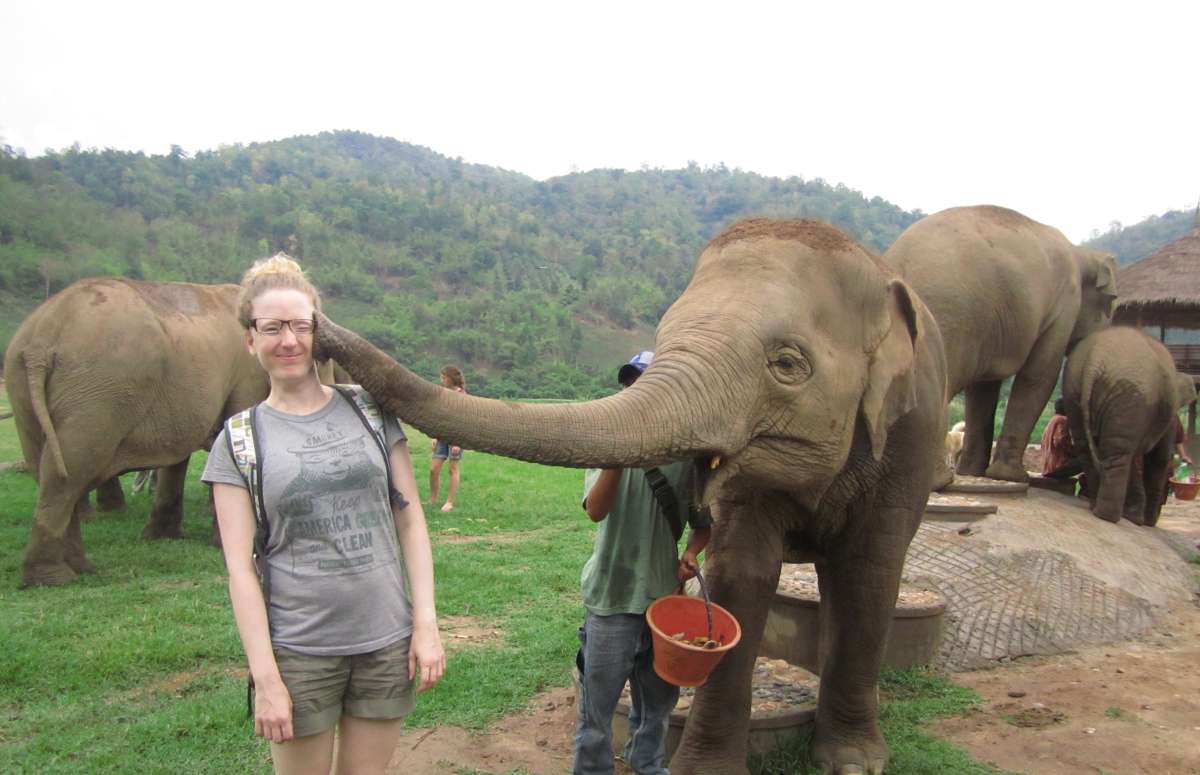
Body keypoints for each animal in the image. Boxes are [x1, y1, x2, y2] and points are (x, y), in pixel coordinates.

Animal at [7, 277, 269, 587]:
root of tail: (41, 340)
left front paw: (161, 537)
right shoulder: (249, 374)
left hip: (23, 386)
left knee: (47, 465)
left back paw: (79, 568)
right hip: (100, 386)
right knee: (70, 469)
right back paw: (55, 578)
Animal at [314, 218, 949, 774]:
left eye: (788, 364)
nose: (316, 326)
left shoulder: (913, 435)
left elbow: (868, 575)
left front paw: (854, 764)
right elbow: (742, 574)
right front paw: (710, 768)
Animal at [884, 205, 1118, 483]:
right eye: (1112, 303)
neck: (1080, 252)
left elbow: (982, 389)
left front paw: (972, 472)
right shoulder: (1064, 305)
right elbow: (1040, 375)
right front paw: (1014, 477)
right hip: (953, 319)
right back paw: (938, 481)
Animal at [1062, 326, 1197, 525]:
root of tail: (1093, 361)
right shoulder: (1169, 416)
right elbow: (1159, 458)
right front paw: (1146, 522)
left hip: (1074, 391)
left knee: (1088, 450)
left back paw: (1096, 508)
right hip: (1129, 395)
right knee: (1119, 454)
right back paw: (1109, 517)